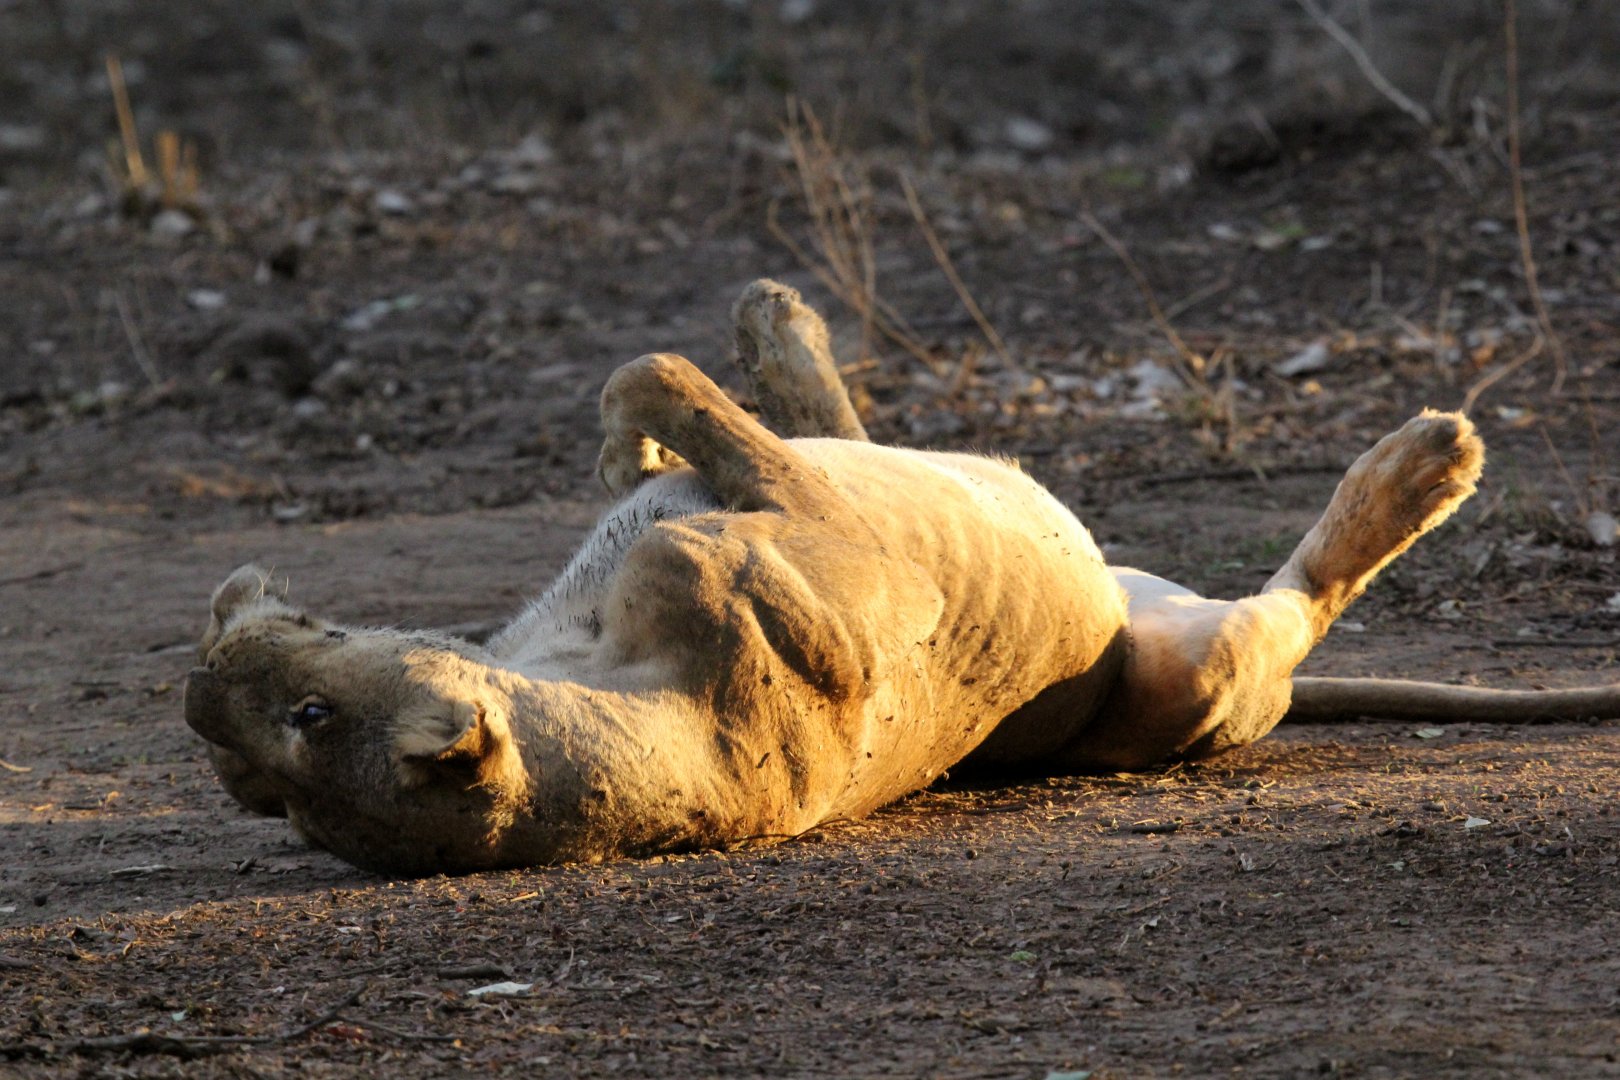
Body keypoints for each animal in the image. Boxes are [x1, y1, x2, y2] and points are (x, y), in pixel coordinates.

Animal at [184, 281, 1620, 875]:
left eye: (301, 718)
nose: (201, 679)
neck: (572, 673)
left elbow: (672, 395)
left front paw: (653, 428)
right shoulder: (790, 547)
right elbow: (664, 386)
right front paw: (649, 435)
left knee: (851, 419)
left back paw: (780, 317)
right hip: (1198, 670)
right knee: (1302, 599)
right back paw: (1431, 457)